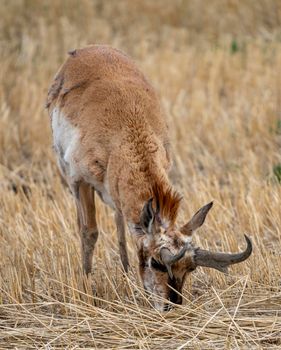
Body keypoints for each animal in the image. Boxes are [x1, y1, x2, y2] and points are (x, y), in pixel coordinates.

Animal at [46, 45, 252, 310]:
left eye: (190, 269)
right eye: (156, 263)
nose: (171, 306)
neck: (125, 134)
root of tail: (87, 49)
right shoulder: (80, 180)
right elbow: (89, 231)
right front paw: (86, 287)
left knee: (119, 221)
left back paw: (125, 272)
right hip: (68, 175)